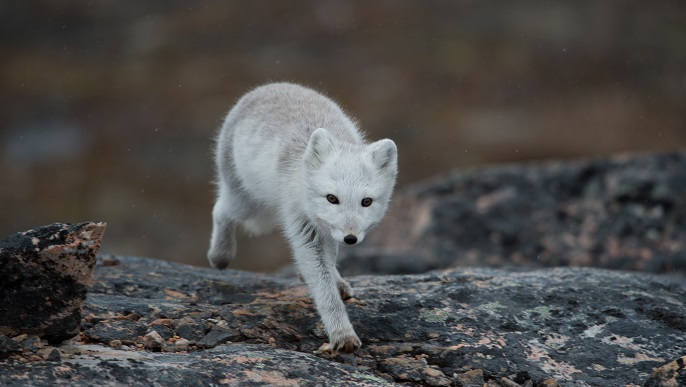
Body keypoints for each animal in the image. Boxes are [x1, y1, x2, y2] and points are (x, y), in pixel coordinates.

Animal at [210, 82, 400, 354]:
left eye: (366, 202)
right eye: (332, 198)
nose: (350, 239)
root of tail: (269, 86)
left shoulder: (327, 231)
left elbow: (329, 263)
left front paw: (335, 281)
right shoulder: (304, 227)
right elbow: (325, 291)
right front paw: (342, 334)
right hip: (246, 202)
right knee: (220, 209)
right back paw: (220, 255)